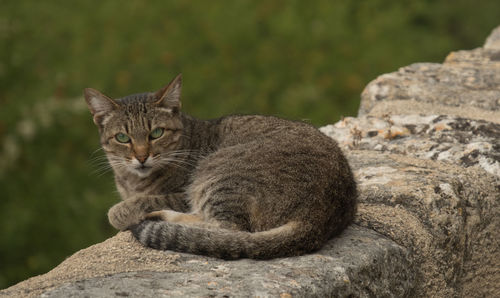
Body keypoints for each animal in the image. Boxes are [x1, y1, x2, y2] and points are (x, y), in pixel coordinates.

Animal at [84, 74, 358, 258]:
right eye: (123, 138)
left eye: (156, 133)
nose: (141, 157)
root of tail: (316, 219)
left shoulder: (179, 194)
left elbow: (125, 208)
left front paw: (124, 211)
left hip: (219, 176)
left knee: (229, 231)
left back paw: (160, 217)